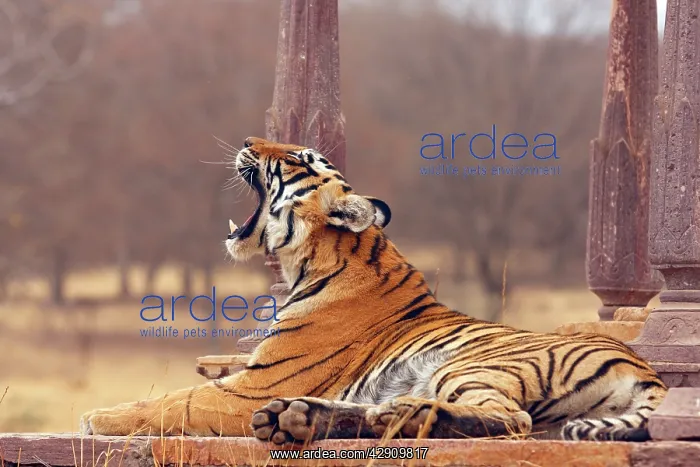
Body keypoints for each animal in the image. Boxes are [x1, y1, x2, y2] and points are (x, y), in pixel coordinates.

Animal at [80, 136, 667, 444]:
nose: (247, 140)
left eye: (299, 159)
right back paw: (304, 418)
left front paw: (97, 417)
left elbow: (170, 401)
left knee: (510, 421)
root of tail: (643, 366)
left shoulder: (251, 385)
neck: (308, 261)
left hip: (472, 368)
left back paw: (398, 417)